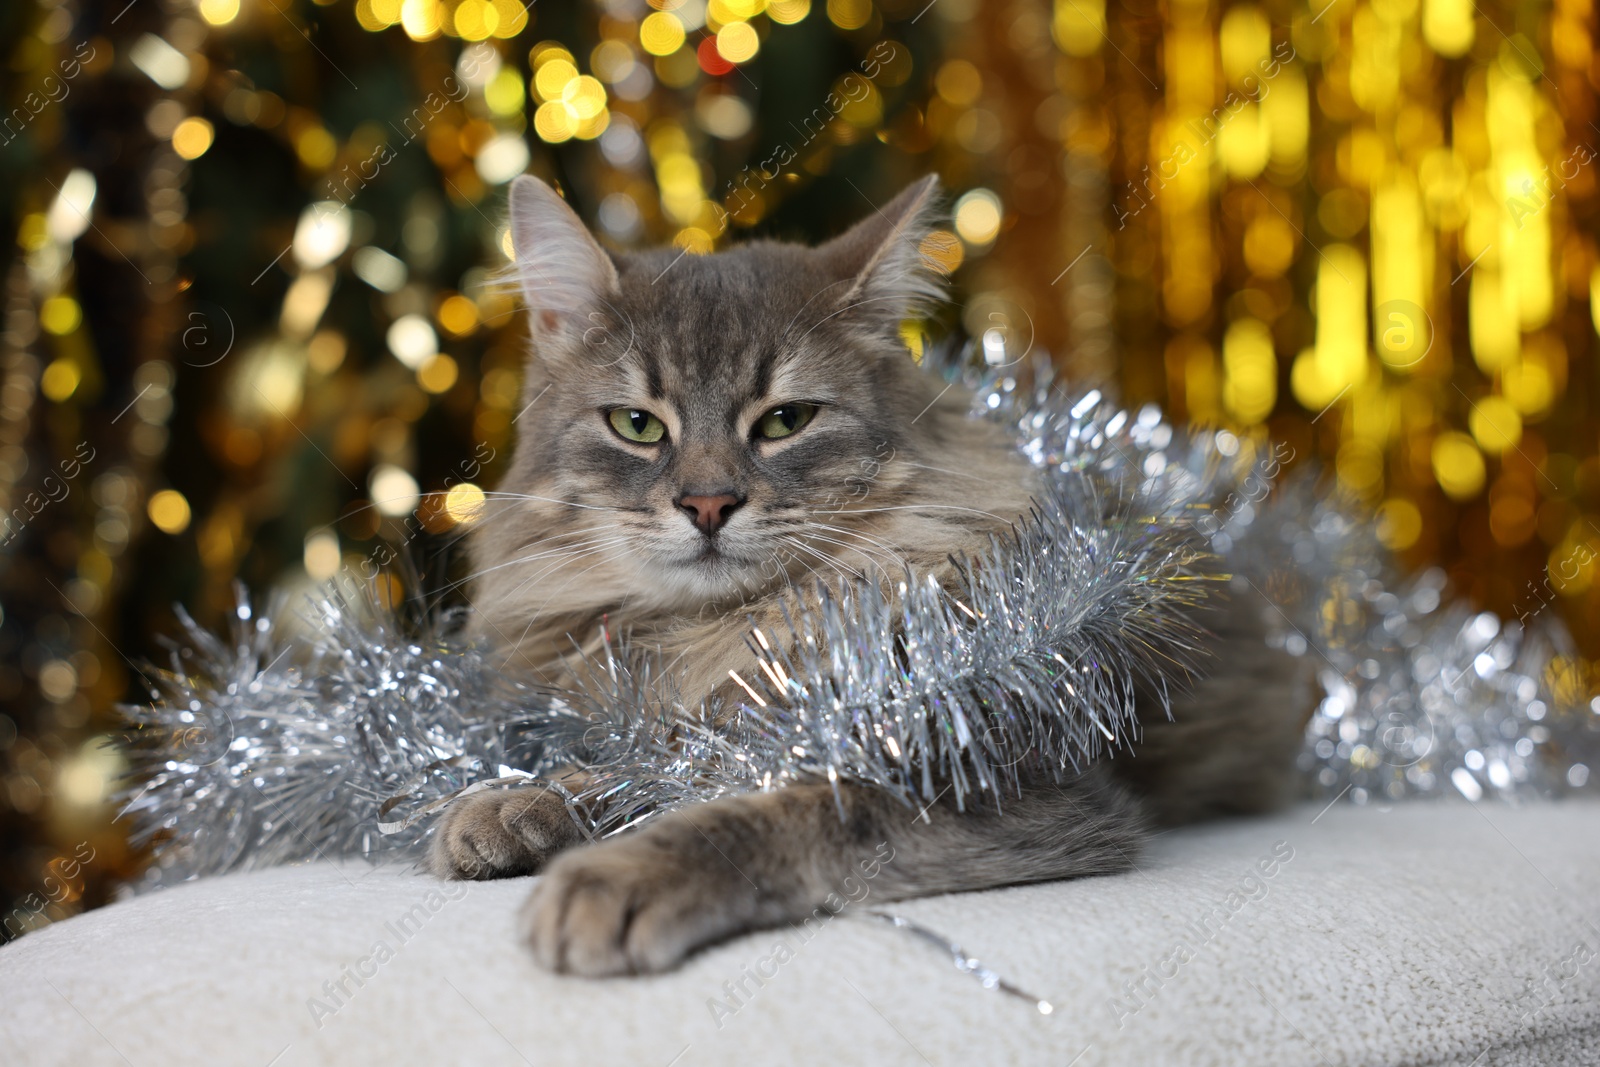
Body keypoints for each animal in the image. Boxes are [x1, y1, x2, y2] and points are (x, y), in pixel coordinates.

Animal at [428, 175, 1312, 979]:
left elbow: (770, 814)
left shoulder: (997, 779)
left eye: (786, 421)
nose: (708, 504)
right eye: (637, 426)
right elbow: (643, 768)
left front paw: (616, 876)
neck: (730, 633)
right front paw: (520, 800)